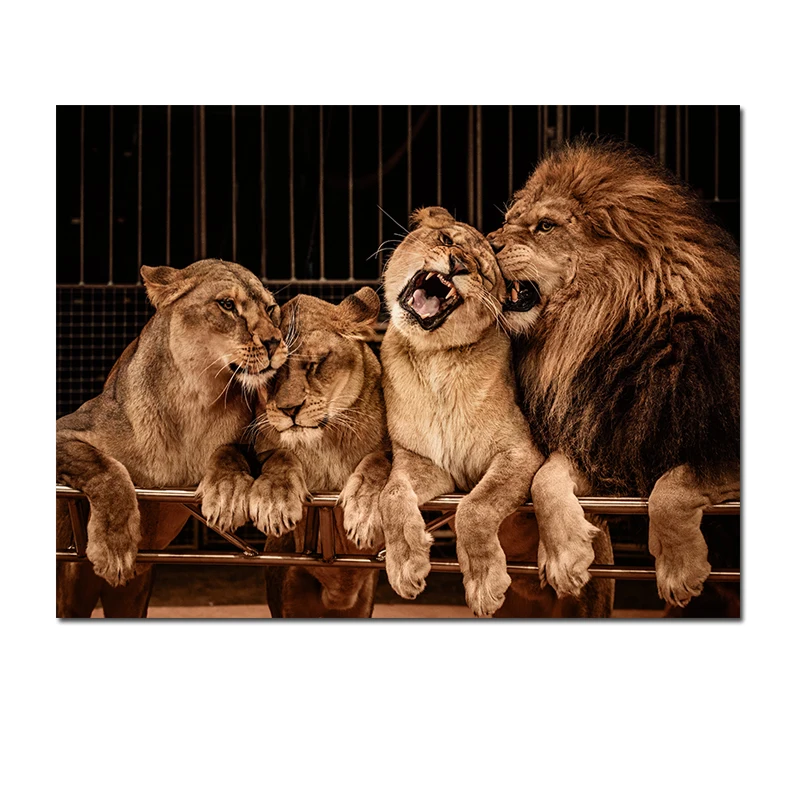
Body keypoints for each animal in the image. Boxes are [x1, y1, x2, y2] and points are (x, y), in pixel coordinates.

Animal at [57, 258, 287, 618]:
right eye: (227, 305)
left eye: (271, 308)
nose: (275, 342)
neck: (195, 398)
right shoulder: (66, 429)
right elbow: (105, 468)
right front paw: (114, 546)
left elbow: (231, 451)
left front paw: (227, 491)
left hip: (134, 593)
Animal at [239, 288, 390, 618]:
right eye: (270, 375)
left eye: (314, 364)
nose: (289, 409)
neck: (323, 442)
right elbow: (280, 456)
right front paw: (275, 500)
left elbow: (379, 462)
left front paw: (365, 509)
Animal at [488, 140, 740, 607]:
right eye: (509, 220)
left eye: (545, 226)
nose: (485, 241)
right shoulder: (606, 438)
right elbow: (545, 478)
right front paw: (564, 556)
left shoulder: (716, 443)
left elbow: (673, 485)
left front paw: (679, 570)